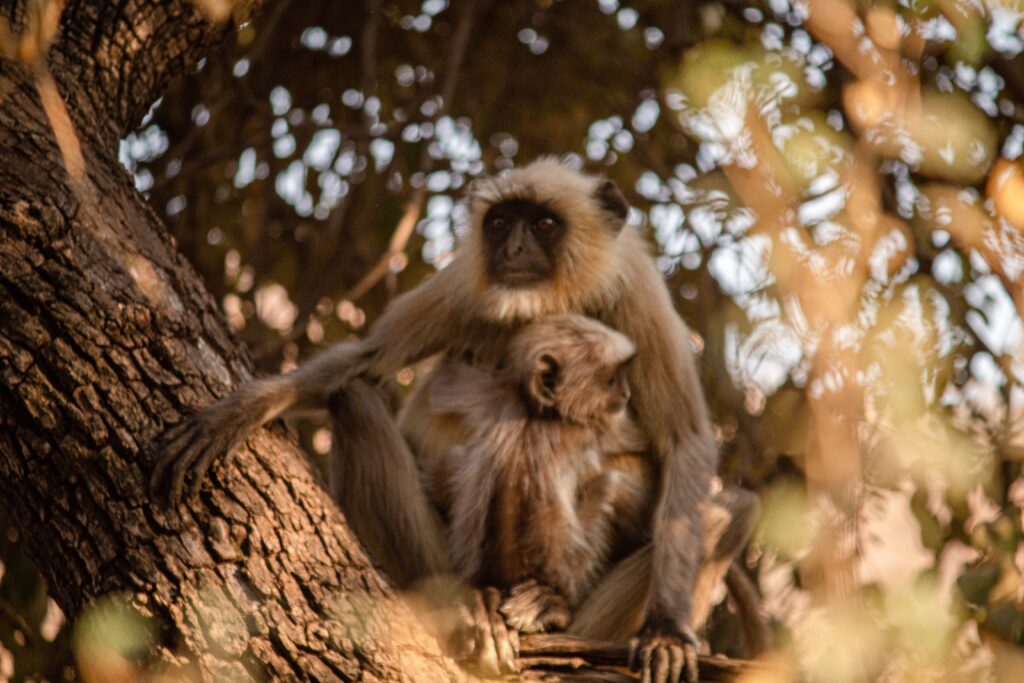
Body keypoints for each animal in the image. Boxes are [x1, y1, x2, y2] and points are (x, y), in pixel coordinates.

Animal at [153, 156, 761, 683]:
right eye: (500, 223)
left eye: (543, 224)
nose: (513, 247)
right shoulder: (464, 285)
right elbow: (364, 361)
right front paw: (240, 411)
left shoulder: (637, 293)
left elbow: (684, 440)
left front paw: (668, 631)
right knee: (356, 400)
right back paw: (465, 606)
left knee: (731, 511)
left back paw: (554, 618)